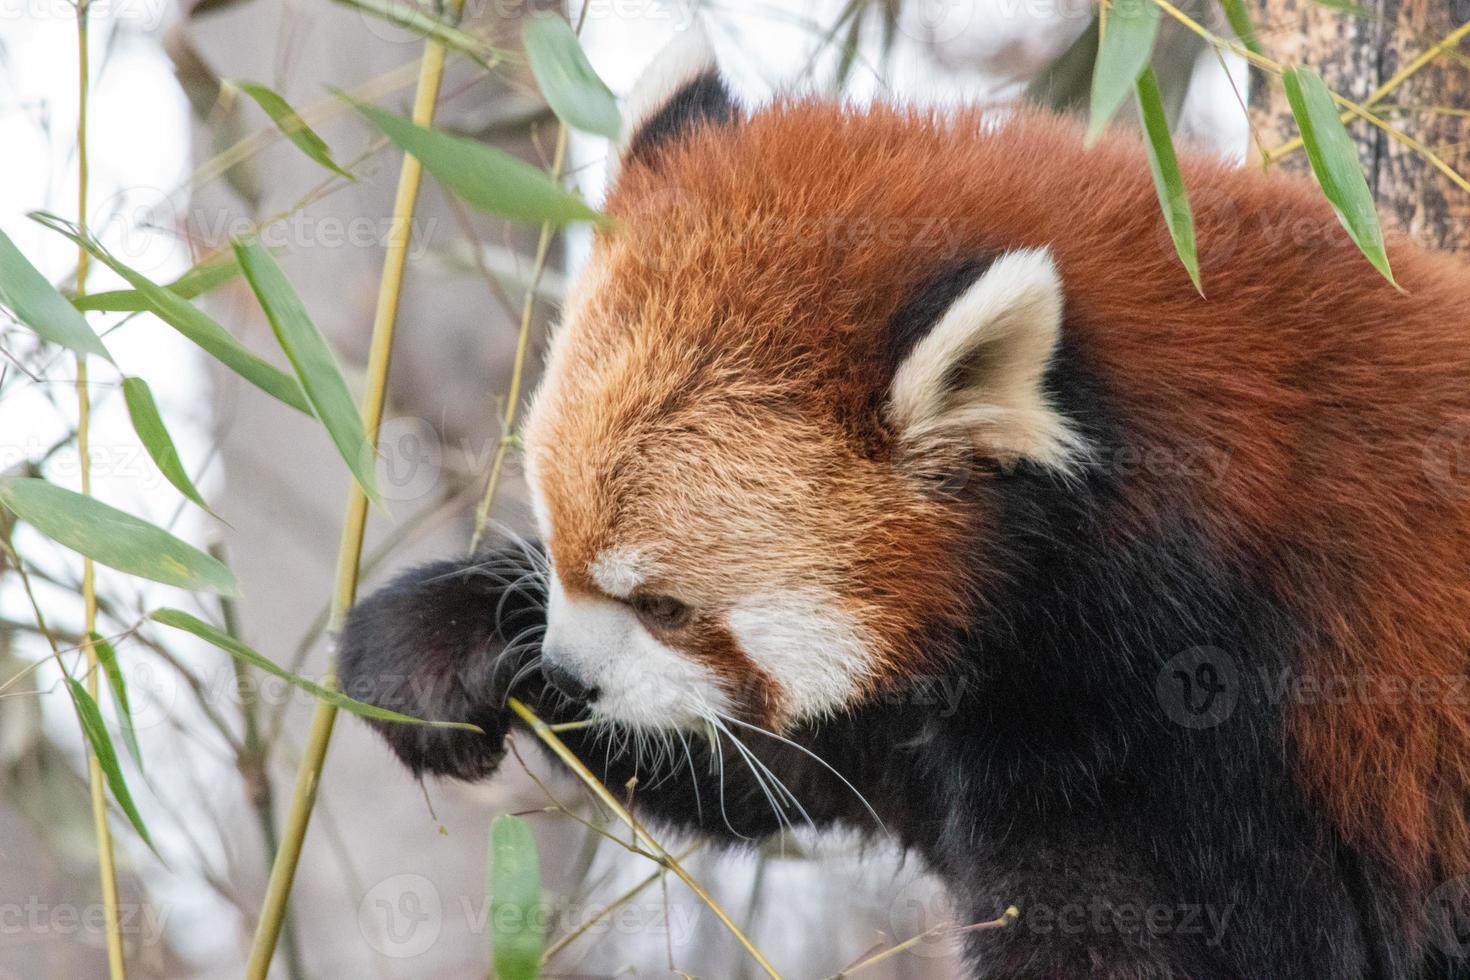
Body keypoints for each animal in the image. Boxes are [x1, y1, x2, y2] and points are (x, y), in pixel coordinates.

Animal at [338, 26, 1470, 975]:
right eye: (555, 540)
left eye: (666, 604)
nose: (567, 673)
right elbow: (789, 759)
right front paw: (438, 642)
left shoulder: (1217, 731)